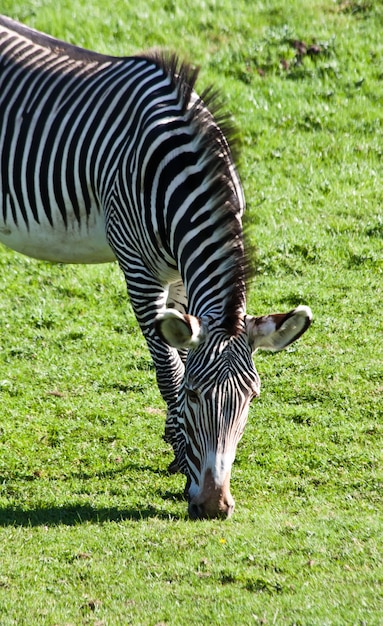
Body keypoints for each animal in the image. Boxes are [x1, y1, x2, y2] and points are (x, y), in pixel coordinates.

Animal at [0, 17, 312, 520]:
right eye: (195, 396)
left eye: (252, 399)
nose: (214, 507)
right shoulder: (139, 271)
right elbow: (169, 367)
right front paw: (181, 454)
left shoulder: (184, 279)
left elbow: (181, 354)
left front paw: (176, 450)